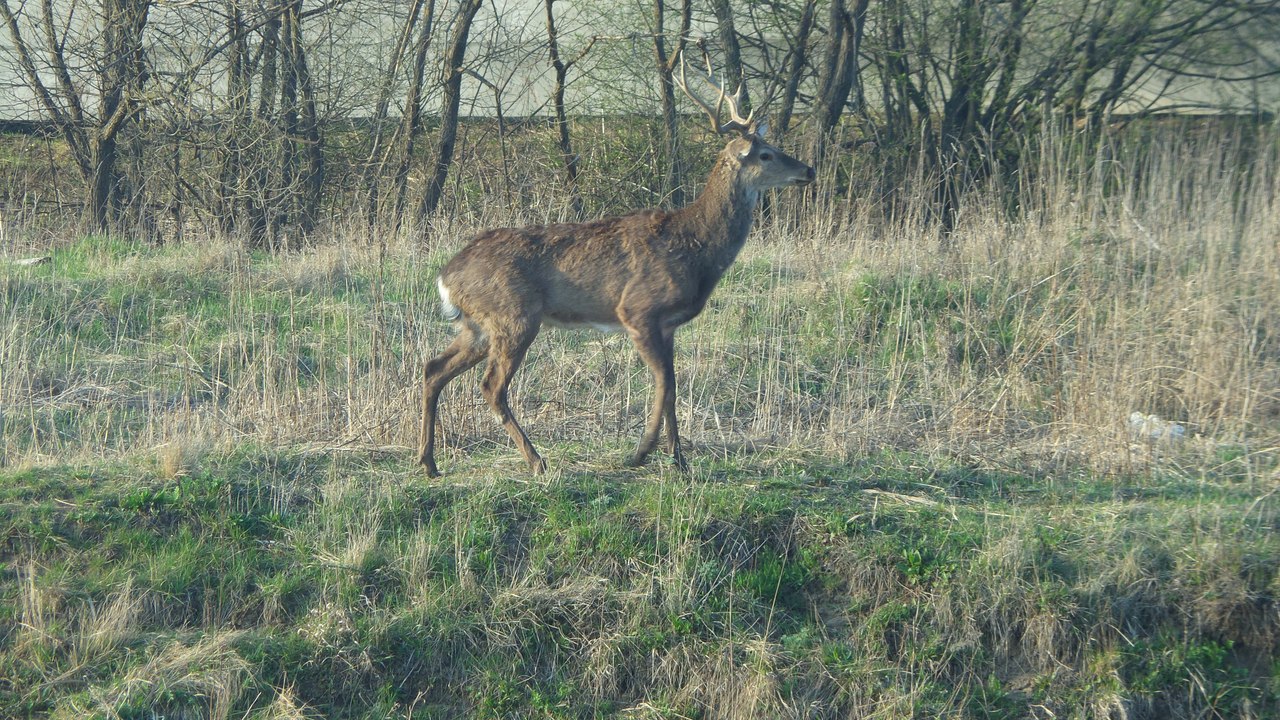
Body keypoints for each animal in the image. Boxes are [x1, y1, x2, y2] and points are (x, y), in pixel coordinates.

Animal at [424, 58, 814, 476]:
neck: (696, 247)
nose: (809, 170)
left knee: (434, 369)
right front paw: (642, 452)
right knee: (491, 386)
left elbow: (673, 385)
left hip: (477, 325)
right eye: (766, 154)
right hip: (514, 316)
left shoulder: (668, 325)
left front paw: (679, 460)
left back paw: (428, 462)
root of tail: (446, 276)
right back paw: (537, 461)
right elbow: (664, 384)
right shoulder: (637, 311)